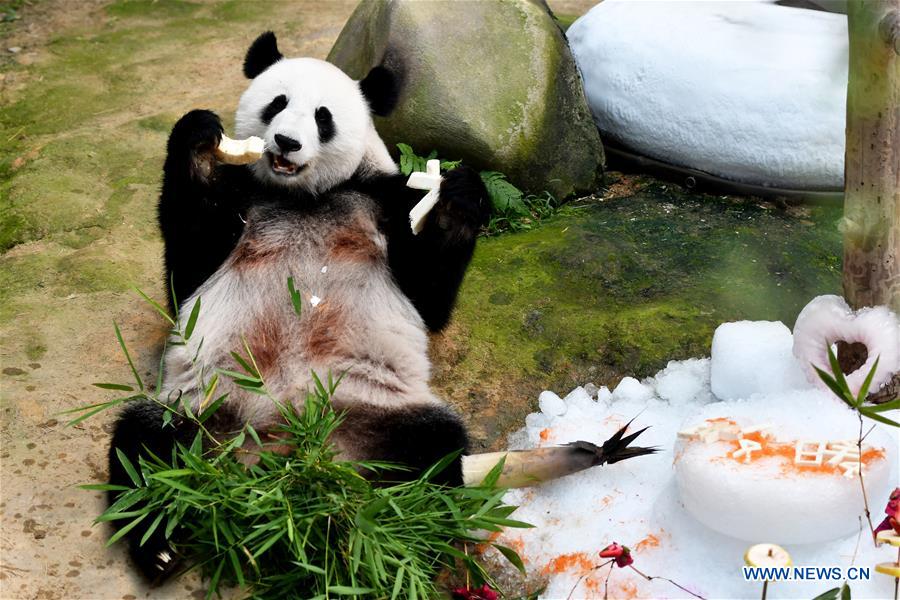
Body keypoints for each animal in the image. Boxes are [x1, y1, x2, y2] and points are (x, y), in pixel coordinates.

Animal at [107, 31, 491, 581]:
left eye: (322, 117)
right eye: (277, 103)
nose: (286, 142)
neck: (303, 196)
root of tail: (286, 456)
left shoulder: (381, 200)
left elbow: (428, 296)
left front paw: (459, 196)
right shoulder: (241, 201)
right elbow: (187, 270)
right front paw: (200, 138)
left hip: (377, 411)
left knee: (435, 455)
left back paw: (402, 545)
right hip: (199, 409)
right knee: (142, 447)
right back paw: (159, 539)